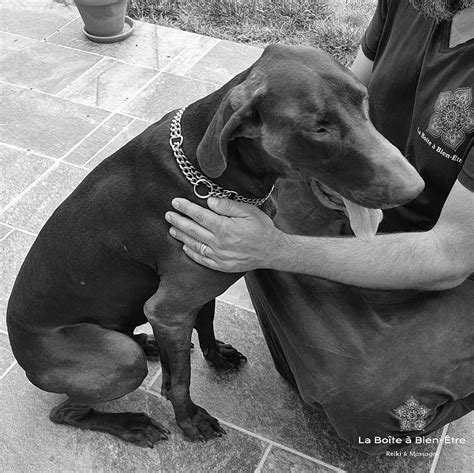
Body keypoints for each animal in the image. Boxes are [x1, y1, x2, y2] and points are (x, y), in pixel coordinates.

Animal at [6, 44, 422, 446]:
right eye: (319, 128)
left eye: (364, 102)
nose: (415, 188)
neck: (213, 176)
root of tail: (21, 357)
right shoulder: (169, 310)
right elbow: (180, 380)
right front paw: (190, 420)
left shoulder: (207, 275)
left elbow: (205, 319)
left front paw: (216, 355)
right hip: (119, 360)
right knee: (67, 412)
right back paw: (132, 424)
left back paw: (147, 344)